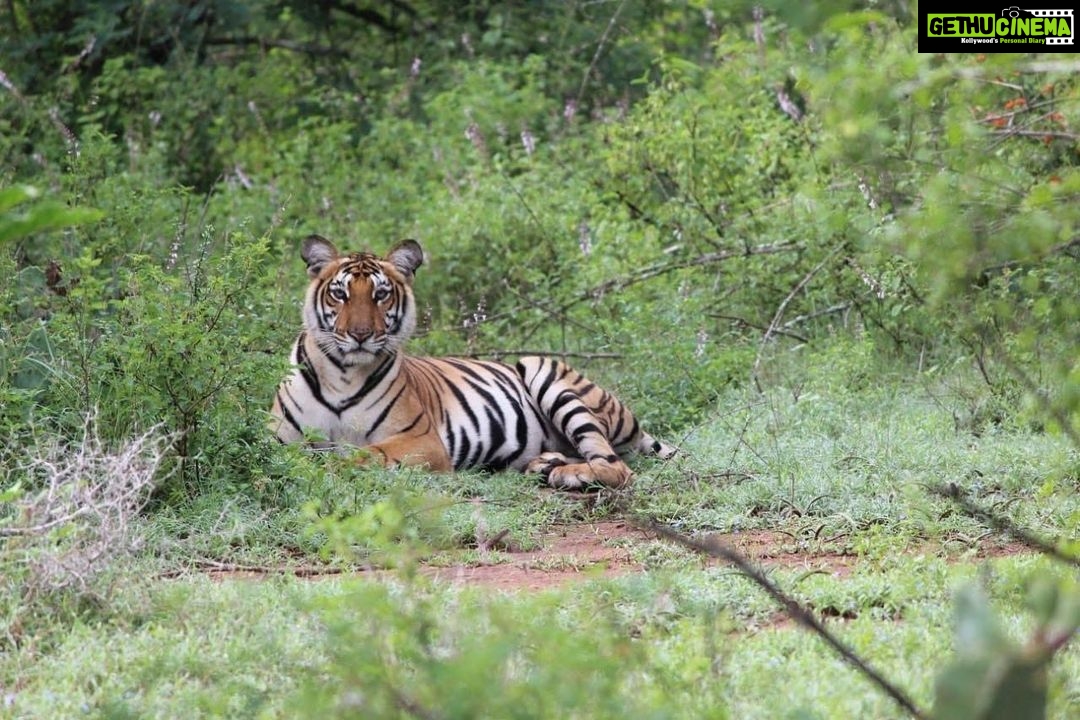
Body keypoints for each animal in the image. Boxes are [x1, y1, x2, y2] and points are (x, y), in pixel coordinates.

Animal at [270, 235, 676, 489]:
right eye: (339, 294)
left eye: (380, 295)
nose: (359, 334)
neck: (344, 373)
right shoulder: (277, 438)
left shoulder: (421, 440)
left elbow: (360, 455)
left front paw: (327, 465)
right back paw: (545, 464)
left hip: (544, 372)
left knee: (616, 466)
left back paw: (571, 475)